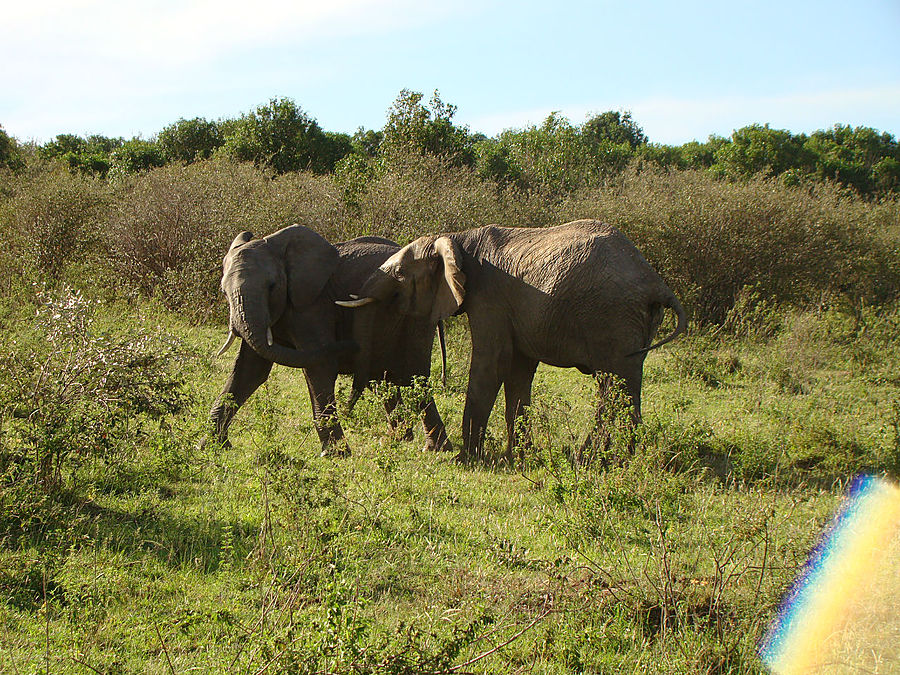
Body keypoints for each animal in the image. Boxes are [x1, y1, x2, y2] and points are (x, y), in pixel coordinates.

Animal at [209, 226, 450, 454]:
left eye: (272, 286)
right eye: (223, 291)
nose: (350, 344)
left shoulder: (312, 305)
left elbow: (320, 366)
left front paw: (335, 454)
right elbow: (249, 371)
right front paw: (211, 446)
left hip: (416, 312)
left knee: (413, 375)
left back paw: (435, 448)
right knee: (381, 378)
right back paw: (396, 439)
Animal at [340, 222, 688, 464]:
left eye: (399, 272)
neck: (458, 239)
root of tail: (656, 283)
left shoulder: (489, 296)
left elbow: (492, 363)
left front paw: (465, 460)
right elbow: (519, 371)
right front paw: (518, 457)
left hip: (612, 317)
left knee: (615, 386)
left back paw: (594, 460)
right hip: (633, 321)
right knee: (624, 385)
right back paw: (615, 459)